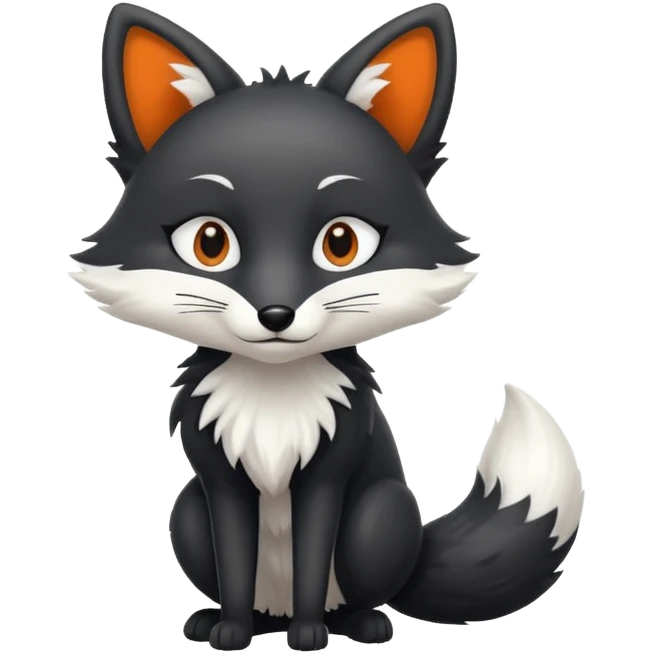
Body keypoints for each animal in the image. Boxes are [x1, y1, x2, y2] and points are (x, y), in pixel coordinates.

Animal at [72, 2, 585, 651]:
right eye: (210, 242)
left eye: (341, 243)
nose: (275, 314)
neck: (273, 395)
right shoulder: (220, 482)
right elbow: (235, 564)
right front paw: (232, 631)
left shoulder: (328, 476)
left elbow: (314, 561)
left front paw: (311, 634)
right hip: (186, 510)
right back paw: (235, 622)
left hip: (380, 514)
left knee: (358, 591)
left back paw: (356, 624)